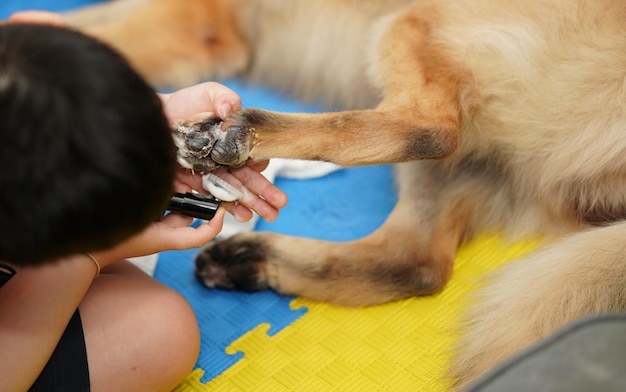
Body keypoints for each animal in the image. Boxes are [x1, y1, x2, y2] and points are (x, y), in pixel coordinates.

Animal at [68, 0, 624, 386]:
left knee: (432, 129)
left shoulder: (191, 18)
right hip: (462, 161)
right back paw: (251, 259)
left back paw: (241, 132)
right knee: (415, 262)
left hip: (417, 26)